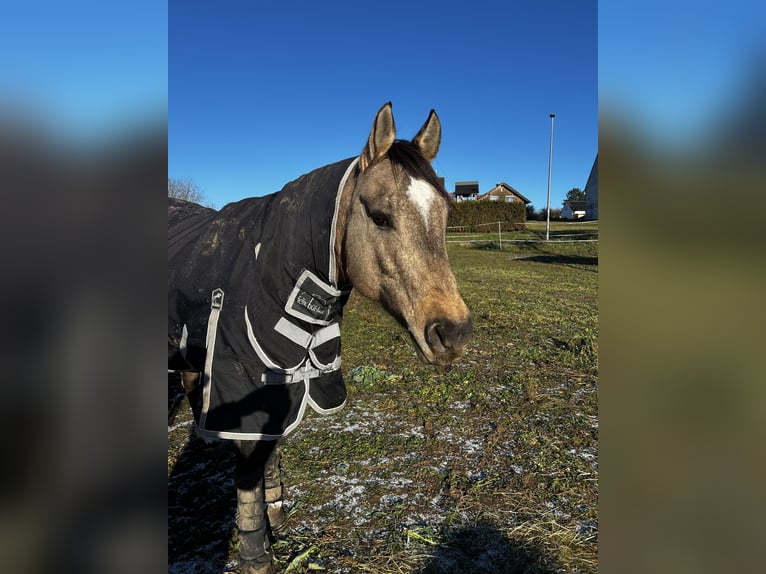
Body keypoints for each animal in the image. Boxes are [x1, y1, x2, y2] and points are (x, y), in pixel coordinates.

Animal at [168, 102, 472, 573]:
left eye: (446, 214)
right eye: (380, 216)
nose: (453, 333)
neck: (270, 268)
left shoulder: (275, 379)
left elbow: (269, 451)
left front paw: (276, 514)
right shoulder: (241, 378)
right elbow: (249, 471)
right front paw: (257, 554)